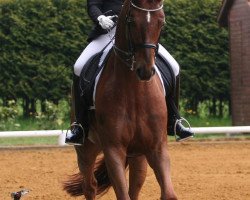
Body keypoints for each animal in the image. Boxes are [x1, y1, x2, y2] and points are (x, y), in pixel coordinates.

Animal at [64, 0, 178, 199]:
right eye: (131, 21)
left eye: (161, 22)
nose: (145, 70)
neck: (135, 92)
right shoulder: (114, 149)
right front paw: (106, 22)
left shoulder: (156, 148)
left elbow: (168, 193)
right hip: (86, 148)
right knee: (89, 186)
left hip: (137, 155)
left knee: (134, 187)